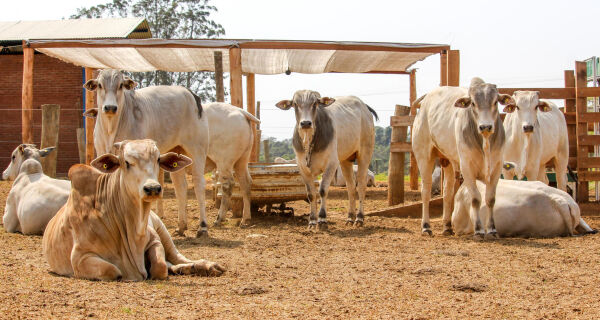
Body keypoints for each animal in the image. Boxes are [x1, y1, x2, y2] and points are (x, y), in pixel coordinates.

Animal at [42, 139, 225, 280]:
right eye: (127, 163)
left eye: (158, 159)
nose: (153, 188)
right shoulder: (81, 257)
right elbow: (113, 270)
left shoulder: (155, 239)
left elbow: (160, 266)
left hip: (162, 228)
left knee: (176, 258)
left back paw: (206, 266)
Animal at [276, 91, 378, 229]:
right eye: (295, 104)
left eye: (315, 103)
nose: (306, 123)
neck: (310, 141)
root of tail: (364, 106)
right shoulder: (303, 168)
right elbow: (311, 194)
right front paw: (312, 221)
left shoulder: (331, 164)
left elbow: (323, 190)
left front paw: (322, 219)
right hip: (345, 160)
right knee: (351, 187)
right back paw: (350, 217)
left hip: (365, 154)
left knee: (361, 185)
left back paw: (359, 218)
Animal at [412, 77, 516, 238]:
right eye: (473, 103)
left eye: (495, 102)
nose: (485, 127)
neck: (484, 141)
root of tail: (425, 101)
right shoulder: (467, 168)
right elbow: (476, 198)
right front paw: (478, 230)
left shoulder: (497, 168)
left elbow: (490, 199)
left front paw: (492, 229)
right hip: (423, 156)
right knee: (426, 191)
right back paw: (426, 227)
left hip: (447, 161)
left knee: (447, 193)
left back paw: (447, 227)